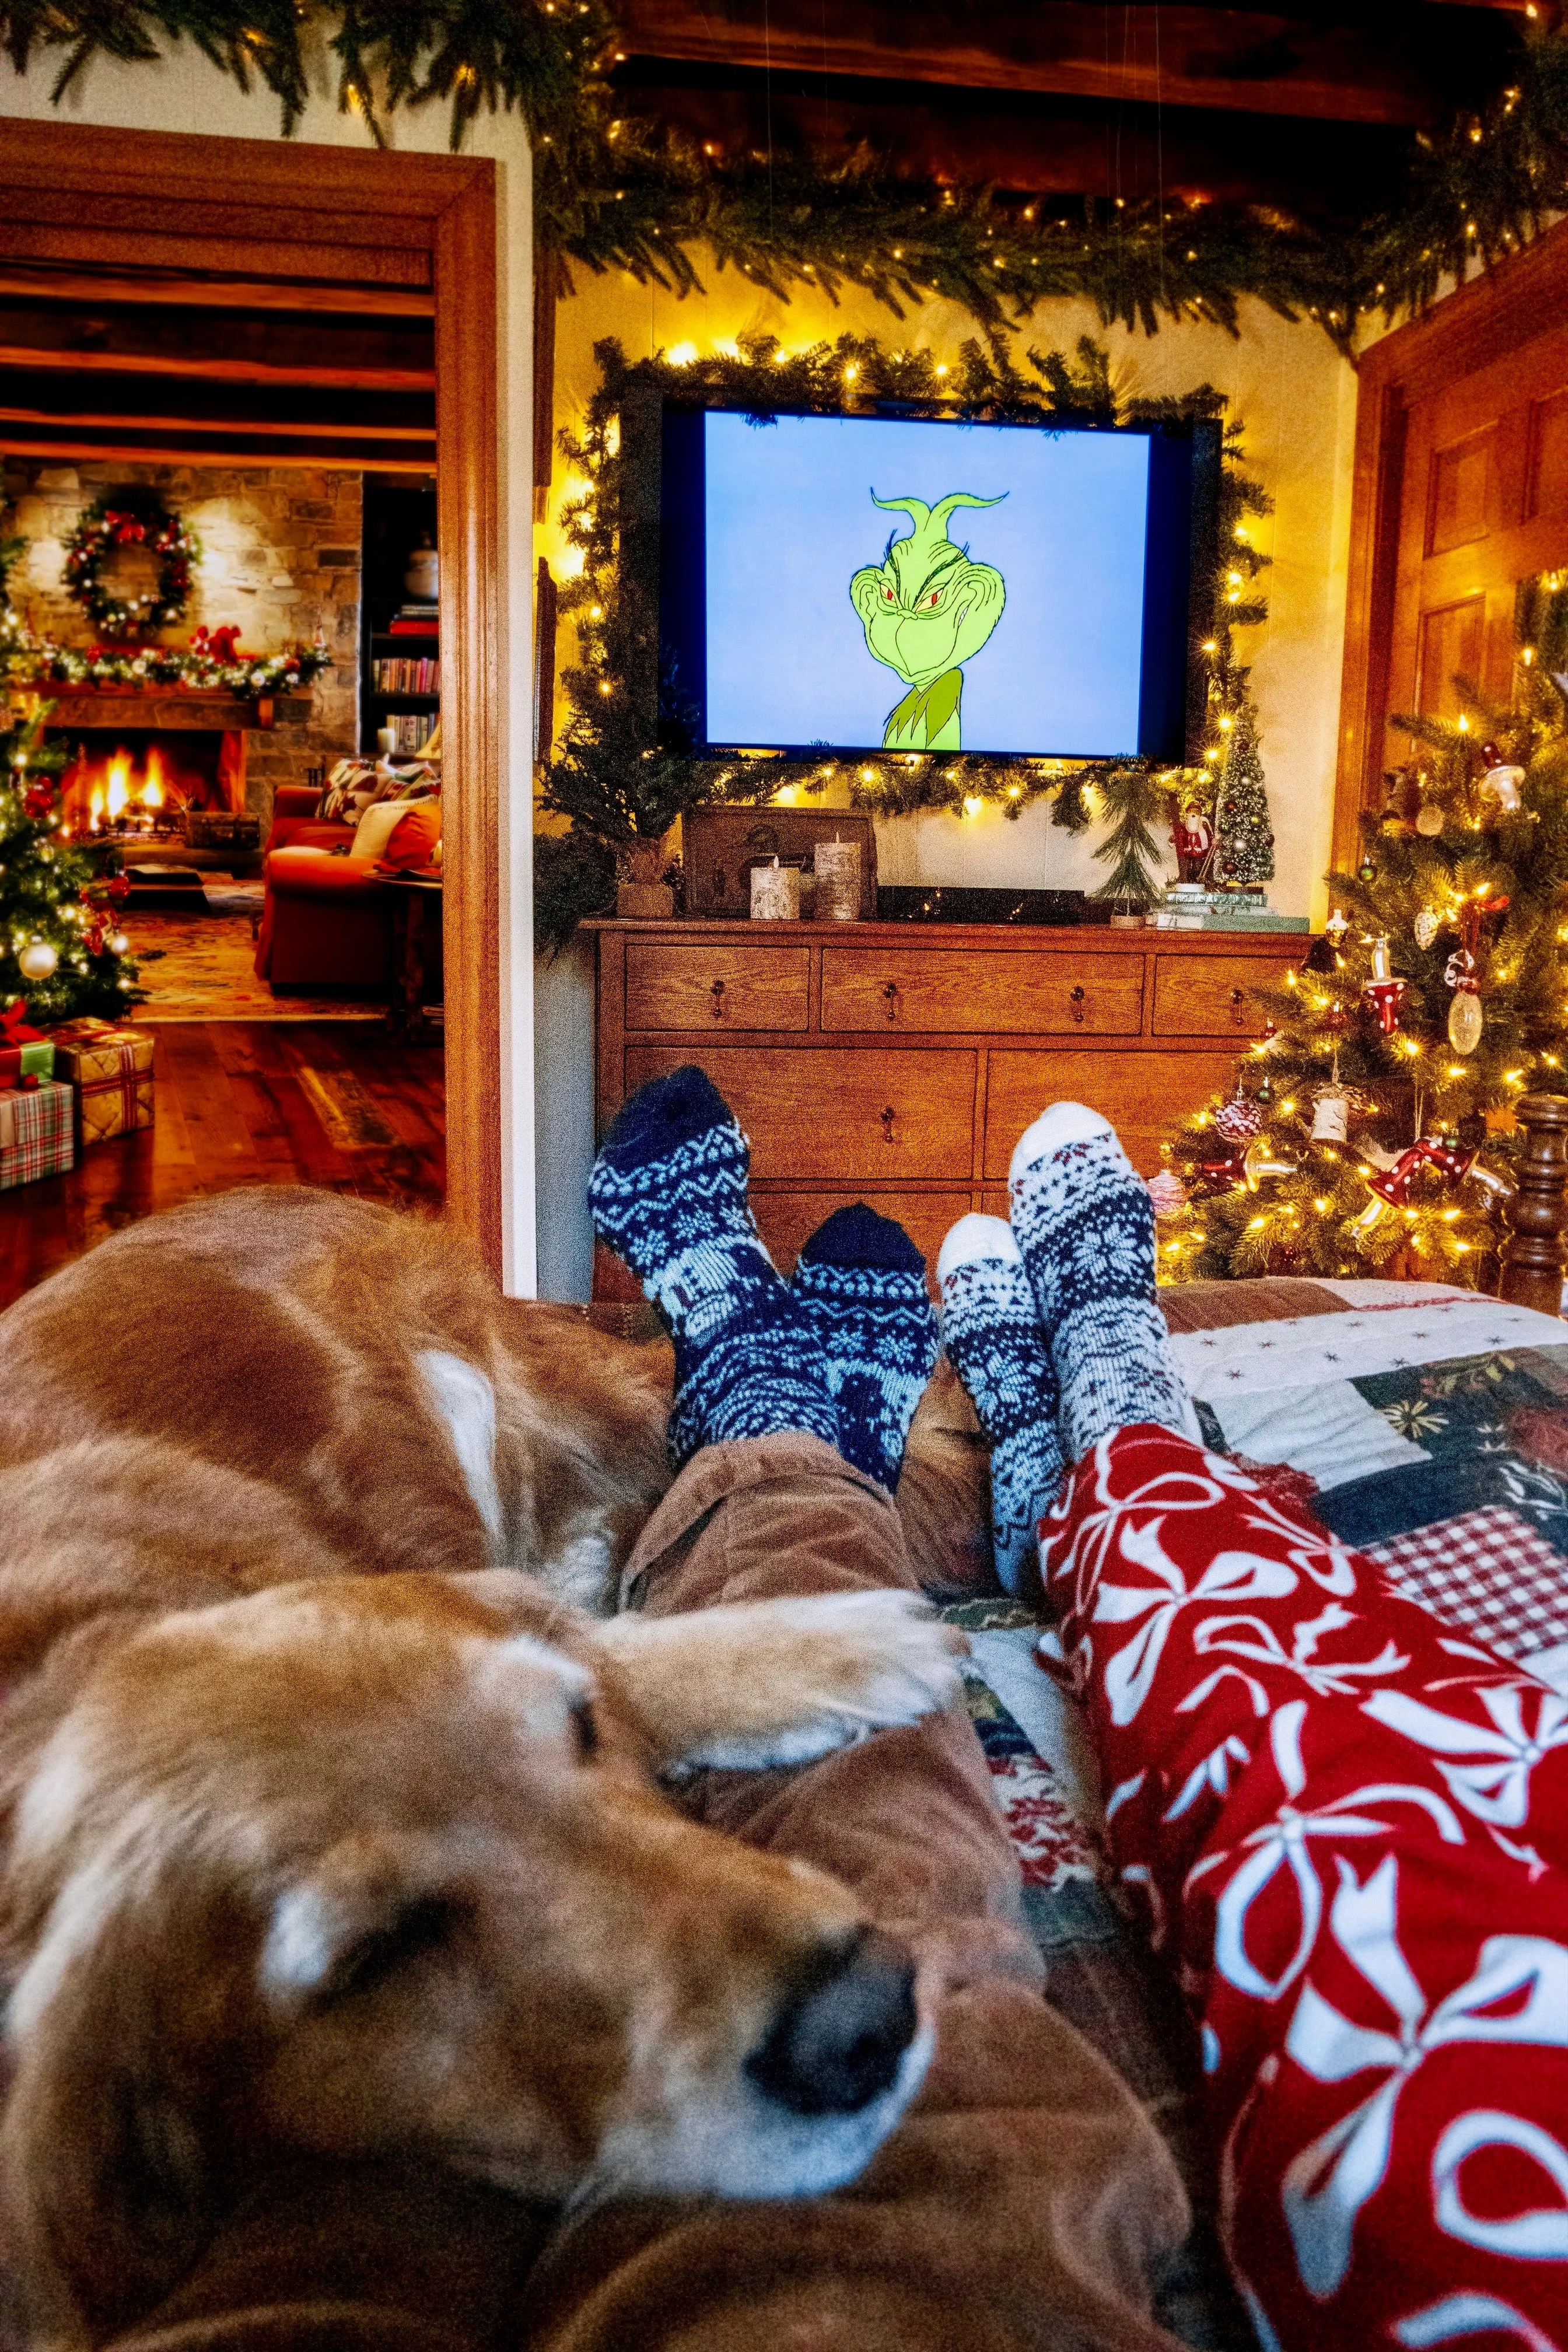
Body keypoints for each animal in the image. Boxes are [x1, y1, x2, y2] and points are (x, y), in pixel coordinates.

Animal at [0, 1195, 968, 2333]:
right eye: (376, 1958)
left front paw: (846, 1641)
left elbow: (637, 1660)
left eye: (579, 1731)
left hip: (464, 1383)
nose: (864, 2018)